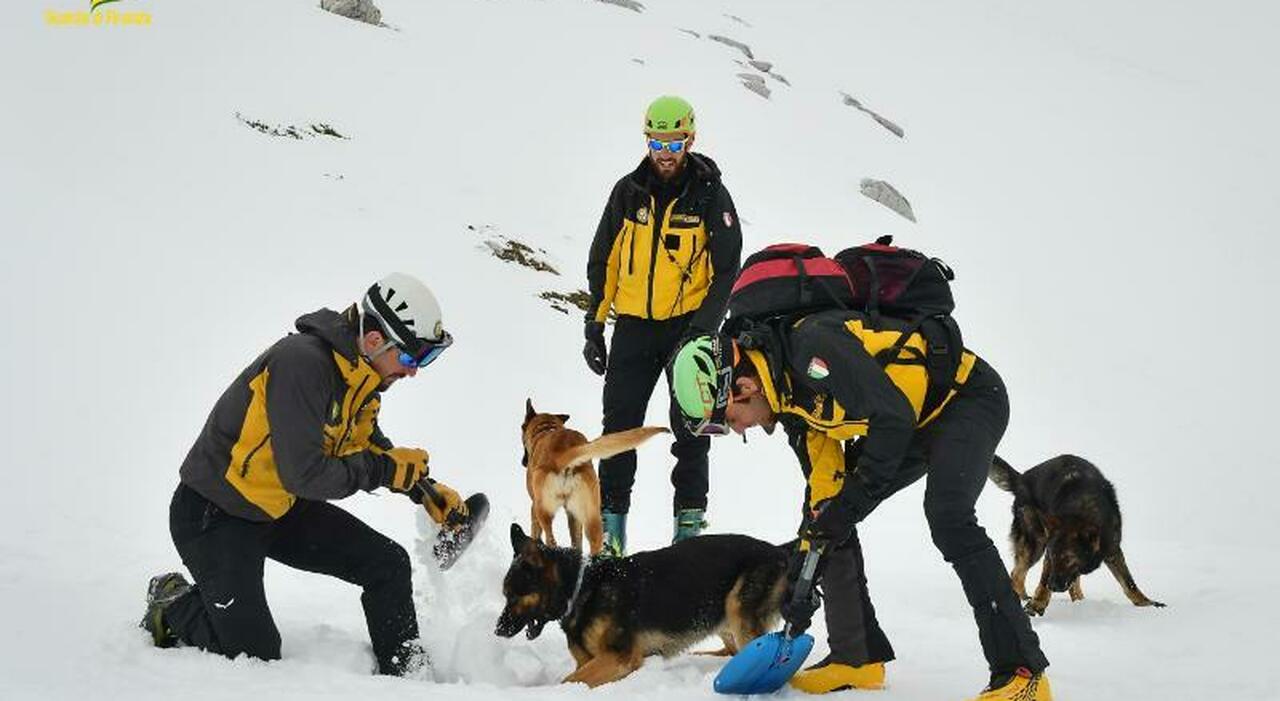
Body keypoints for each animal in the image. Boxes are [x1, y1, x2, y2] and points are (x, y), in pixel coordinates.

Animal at [519, 401, 665, 555]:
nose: (524, 462)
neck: (546, 429)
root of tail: (564, 453)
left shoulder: (534, 508)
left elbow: (535, 534)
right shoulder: (573, 515)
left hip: (544, 511)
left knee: (550, 539)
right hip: (592, 518)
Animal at [993, 455, 1167, 614]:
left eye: (1068, 558)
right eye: (1053, 557)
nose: (1052, 585)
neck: (1082, 512)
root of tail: (1022, 478)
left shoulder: (1112, 550)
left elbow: (1129, 582)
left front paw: (1146, 603)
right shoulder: (1048, 555)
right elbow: (1042, 582)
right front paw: (1037, 605)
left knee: (1071, 583)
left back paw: (1079, 602)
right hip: (1035, 543)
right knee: (1016, 573)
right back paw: (1022, 598)